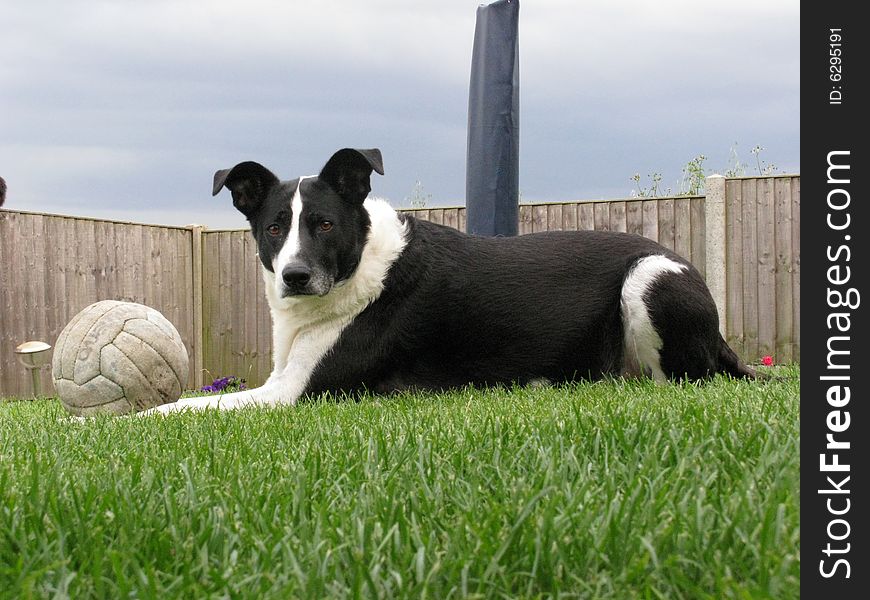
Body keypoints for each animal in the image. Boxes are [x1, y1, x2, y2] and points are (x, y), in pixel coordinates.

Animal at [145, 148, 756, 414]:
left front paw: (120, 426)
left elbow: (177, 410)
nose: (295, 276)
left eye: (324, 224)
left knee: (679, 382)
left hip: (648, 279)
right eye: (274, 226)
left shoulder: (294, 394)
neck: (361, 272)